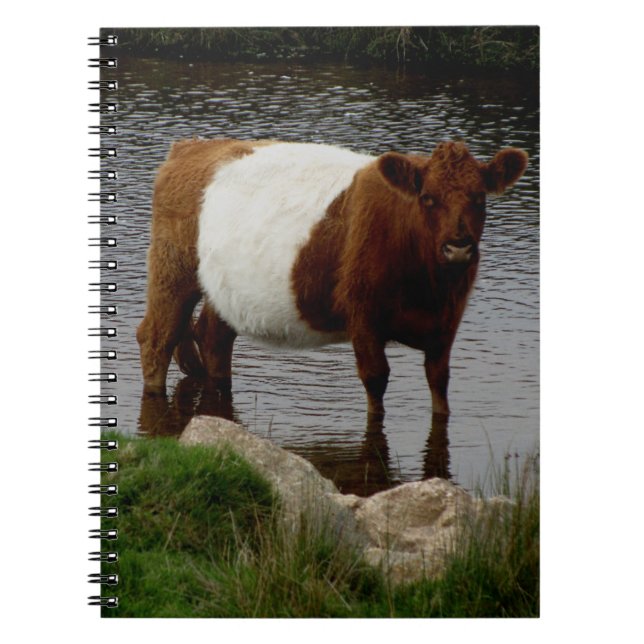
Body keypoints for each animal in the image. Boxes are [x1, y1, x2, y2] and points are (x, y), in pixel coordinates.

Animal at [137, 138, 528, 418]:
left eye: (479, 198)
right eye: (428, 198)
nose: (458, 248)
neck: (429, 290)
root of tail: (192, 145)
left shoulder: (447, 323)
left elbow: (440, 384)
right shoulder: (364, 318)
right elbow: (376, 384)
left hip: (223, 288)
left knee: (213, 337)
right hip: (173, 268)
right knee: (157, 337)